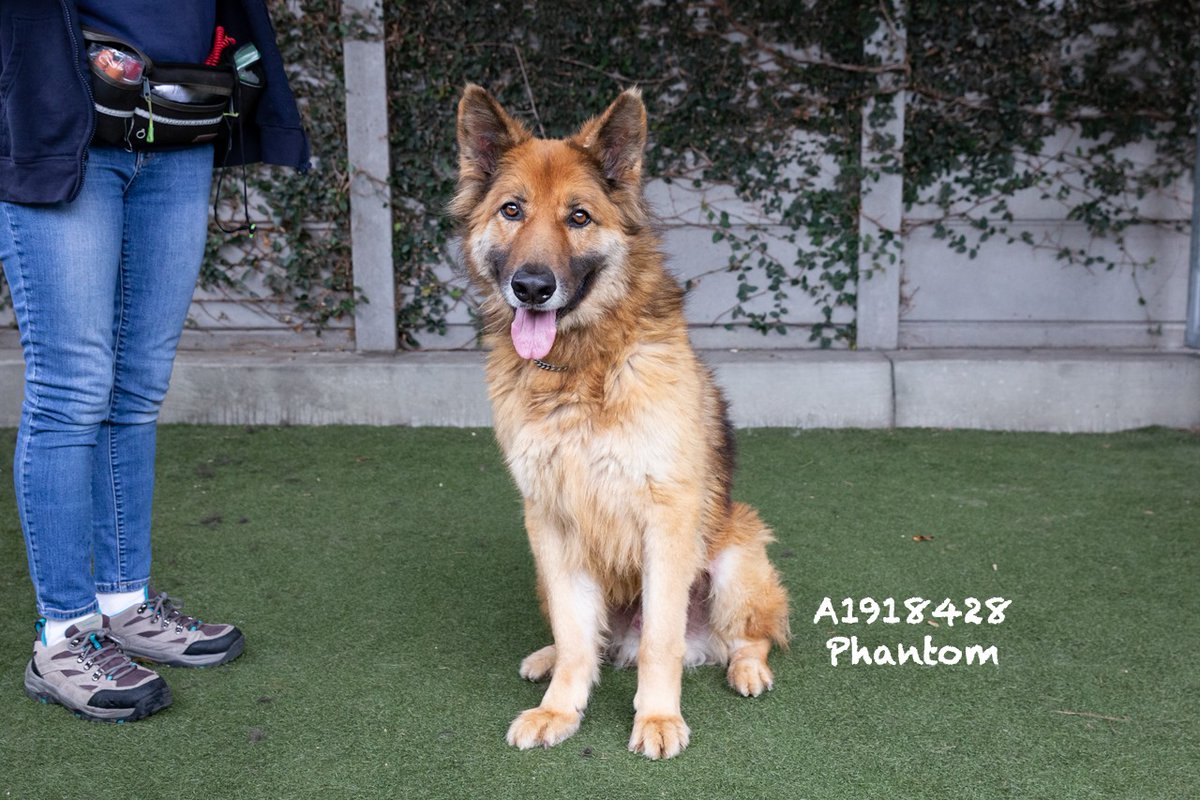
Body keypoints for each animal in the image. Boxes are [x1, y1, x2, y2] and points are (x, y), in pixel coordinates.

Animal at [452, 84, 790, 760]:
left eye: (579, 217)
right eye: (511, 211)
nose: (532, 287)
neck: (578, 368)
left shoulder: (667, 516)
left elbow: (660, 638)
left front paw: (657, 718)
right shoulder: (550, 519)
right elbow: (576, 636)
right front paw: (559, 709)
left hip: (739, 555)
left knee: (747, 633)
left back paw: (746, 668)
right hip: (544, 568)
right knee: (594, 640)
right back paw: (548, 657)